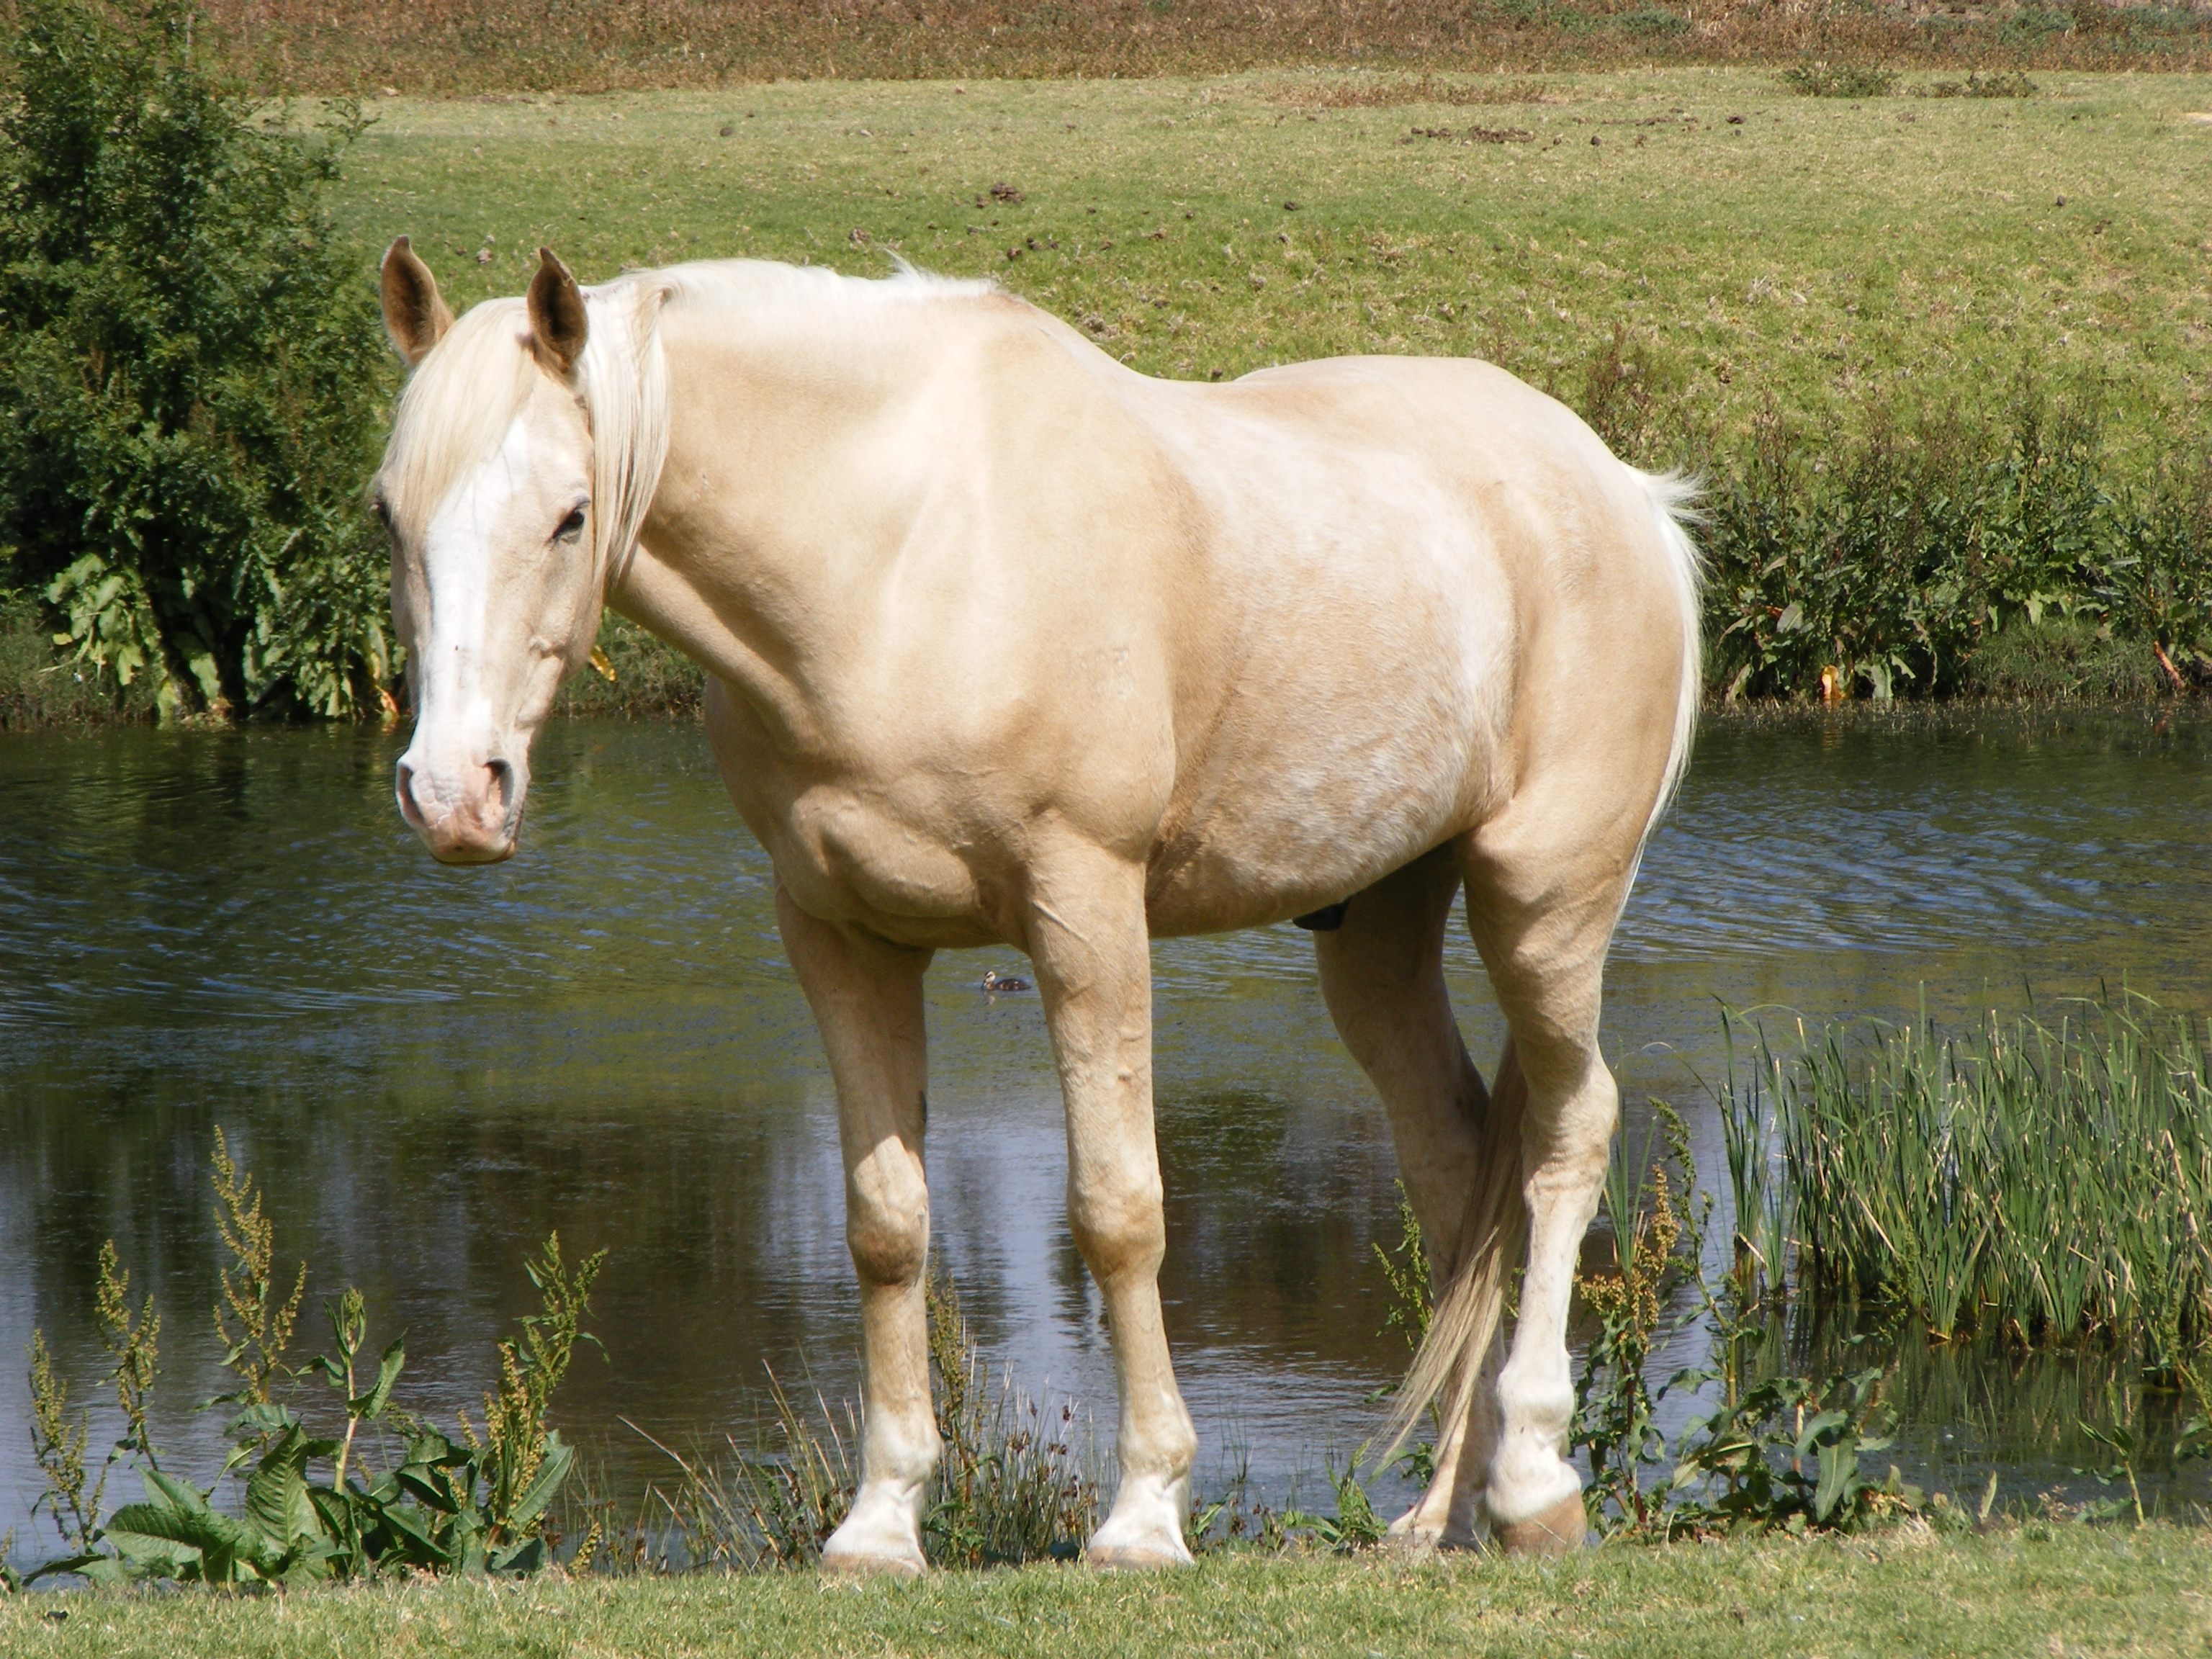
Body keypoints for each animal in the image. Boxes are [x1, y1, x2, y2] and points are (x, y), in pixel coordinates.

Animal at [372, 240, 1699, 1575]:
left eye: (570, 513)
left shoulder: (1086, 915)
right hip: (1376, 933)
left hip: (1541, 902)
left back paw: (1532, 1482)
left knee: (1567, 1133)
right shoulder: (841, 937)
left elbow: (1118, 1211)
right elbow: (886, 1224)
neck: (899, 558)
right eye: (388, 510)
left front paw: (1144, 1511)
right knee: (1459, 1167)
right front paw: (881, 1521)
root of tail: (1624, 489)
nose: (452, 793)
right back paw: (1441, 1514)